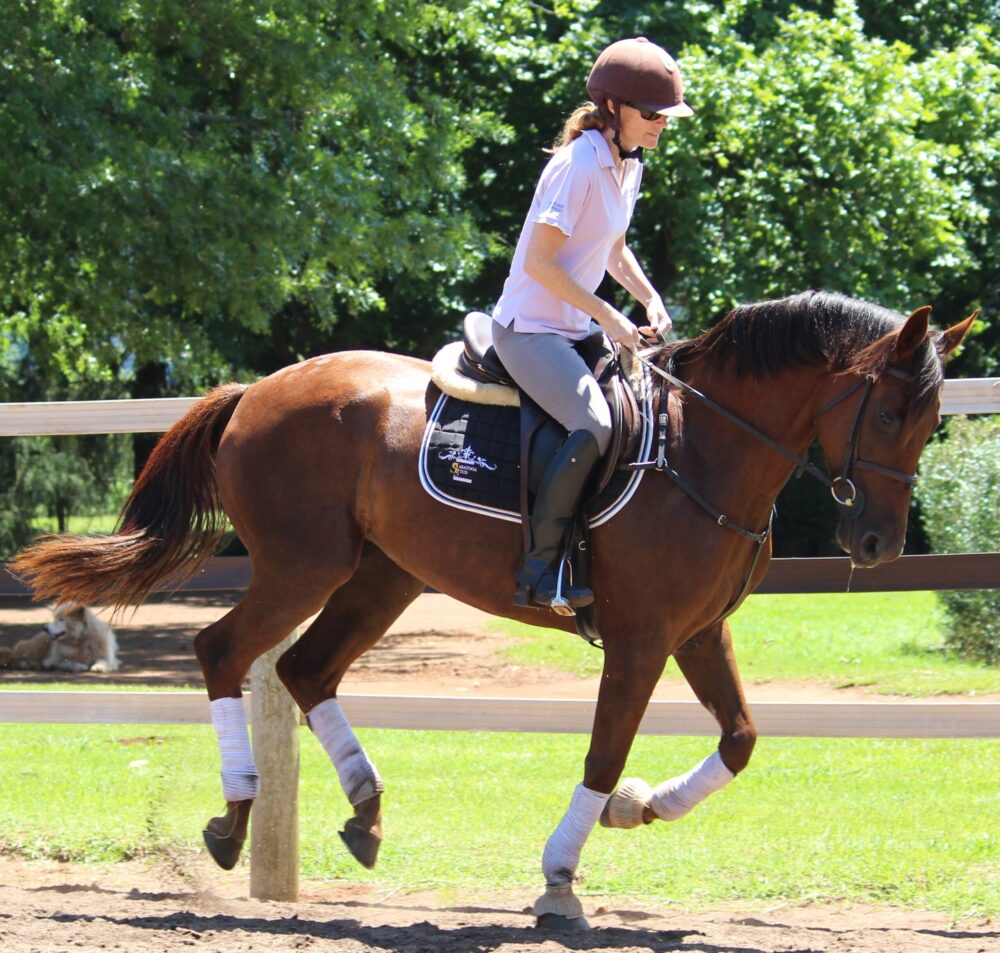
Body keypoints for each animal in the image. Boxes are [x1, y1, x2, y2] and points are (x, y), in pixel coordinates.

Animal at [11, 288, 972, 924]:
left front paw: (639, 807)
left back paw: (364, 809)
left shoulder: (699, 630)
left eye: (931, 422)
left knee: (305, 667)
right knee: (224, 652)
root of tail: (258, 388)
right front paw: (559, 879)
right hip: (302, 567)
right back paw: (234, 818)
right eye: (890, 412)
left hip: (381, 576)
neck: (706, 447)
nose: (879, 544)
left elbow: (739, 738)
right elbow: (602, 750)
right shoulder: (641, 636)